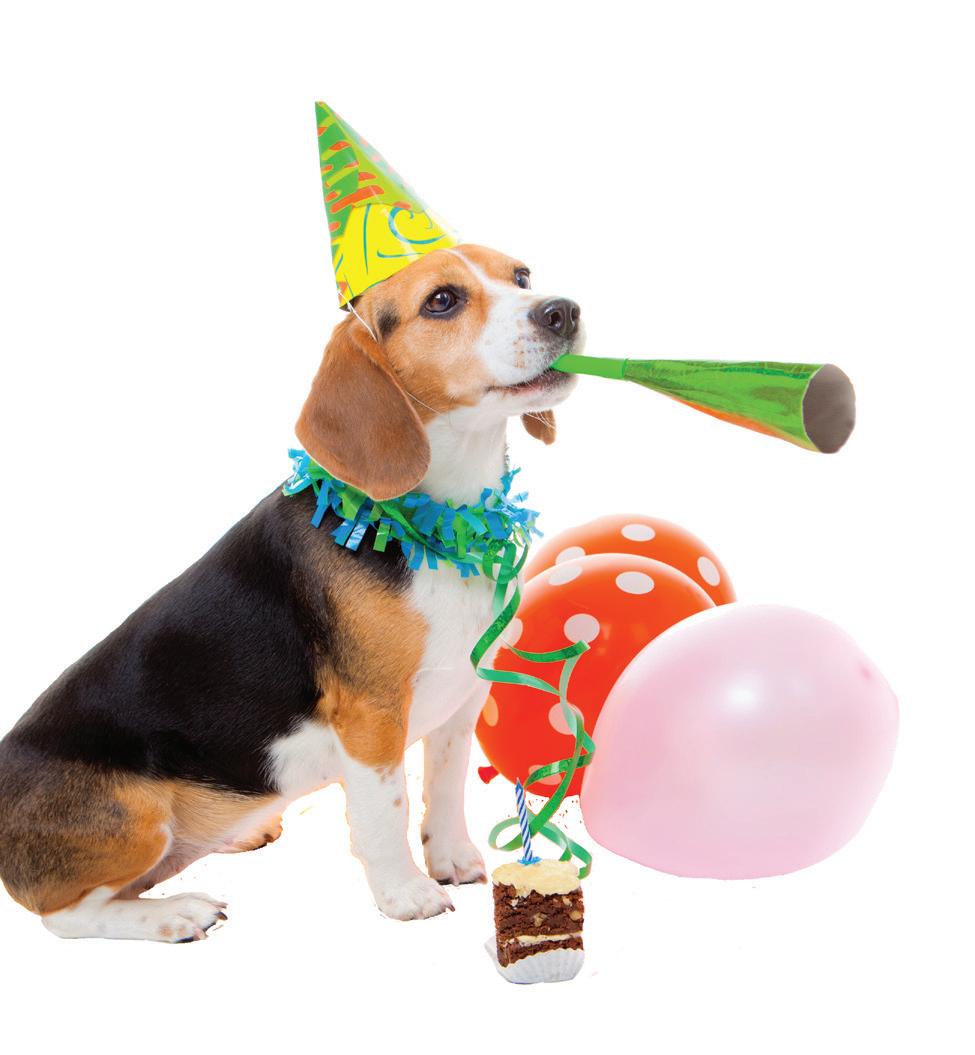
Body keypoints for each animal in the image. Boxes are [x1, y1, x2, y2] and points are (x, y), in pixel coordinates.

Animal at [0, 244, 582, 941]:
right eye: (442, 300)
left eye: (521, 276)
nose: (563, 310)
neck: (437, 523)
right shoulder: (371, 713)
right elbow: (387, 806)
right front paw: (404, 893)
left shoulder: (462, 696)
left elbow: (443, 787)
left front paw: (450, 860)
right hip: (136, 814)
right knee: (64, 916)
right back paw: (174, 913)